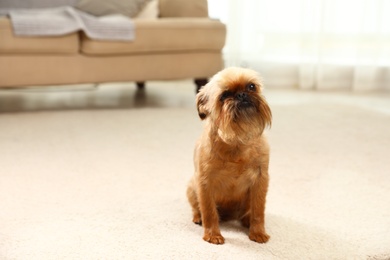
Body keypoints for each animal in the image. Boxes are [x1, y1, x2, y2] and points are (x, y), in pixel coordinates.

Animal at [186, 66, 272, 244]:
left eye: (251, 86)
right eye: (224, 95)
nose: (242, 94)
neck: (236, 140)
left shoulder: (261, 180)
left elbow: (258, 210)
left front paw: (258, 232)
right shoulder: (204, 183)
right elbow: (209, 211)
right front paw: (213, 235)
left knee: (249, 211)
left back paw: (246, 220)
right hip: (191, 186)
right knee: (198, 208)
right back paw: (198, 217)